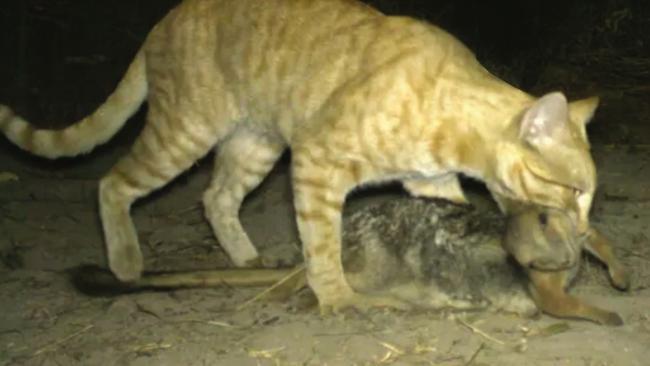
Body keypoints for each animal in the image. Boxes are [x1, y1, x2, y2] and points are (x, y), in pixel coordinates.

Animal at [0, 0, 596, 312]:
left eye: (589, 196)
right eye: (571, 190)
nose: (586, 230)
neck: (449, 116)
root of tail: (161, 21)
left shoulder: (429, 180)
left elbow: (450, 213)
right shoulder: (316, 162)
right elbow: (321, 242)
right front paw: (336, 296)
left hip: (255, 145)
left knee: (216, 197)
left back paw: (243, 257)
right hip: (183, 134)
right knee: (111, 183)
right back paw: (125, 261)